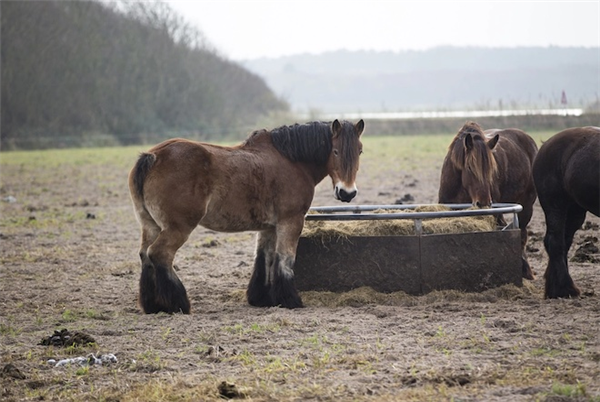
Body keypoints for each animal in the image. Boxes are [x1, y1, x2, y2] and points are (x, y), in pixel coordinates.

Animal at [129, 119, 364, 314]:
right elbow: (285, 259)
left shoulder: (269, 227)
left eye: (360, 151)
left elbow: (265, 258)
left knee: (145, 255)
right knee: (160, 254)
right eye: (335, 151)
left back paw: (153, 305)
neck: (292, 161)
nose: (347, 193)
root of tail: (154, 157)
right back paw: (178, 303)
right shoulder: (291, 221)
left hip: (150, 225)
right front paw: (290, 300)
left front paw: (262, 299)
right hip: (178, 227)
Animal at [436, 121, 540, 280]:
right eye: (470, 167)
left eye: (491, 168)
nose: (483, 203)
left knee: (522, 234)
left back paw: (526, 270)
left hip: (527, 205)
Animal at [536, 126, 600, 298]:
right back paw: (565, 289)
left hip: (575, 211)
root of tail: (546, 145)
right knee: (555, 242)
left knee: (564, 242)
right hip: (555, 205)